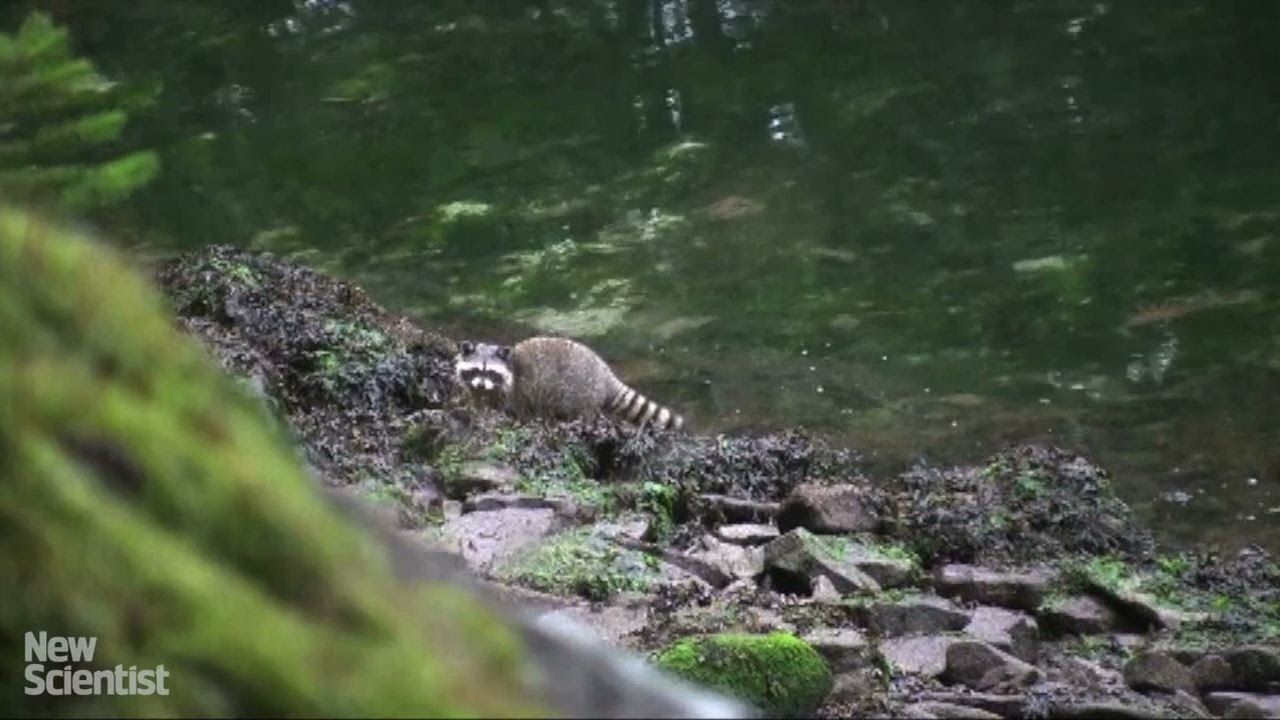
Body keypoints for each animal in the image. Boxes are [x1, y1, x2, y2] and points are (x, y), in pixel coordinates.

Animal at [454, 336, 685, 431]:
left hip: (581, 390)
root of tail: (605, 373)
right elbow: (478, 403)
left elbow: (516, 408)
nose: (481, 385)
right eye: (477, 370)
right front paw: (476, 411)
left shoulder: (517, 390)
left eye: (490, 373)